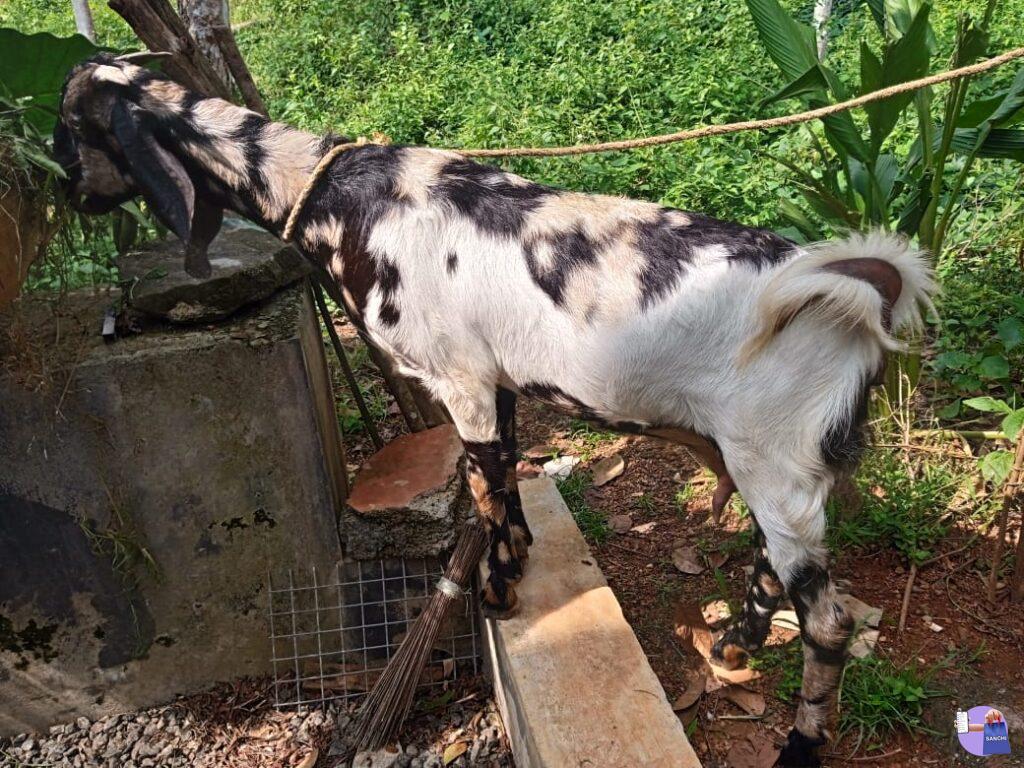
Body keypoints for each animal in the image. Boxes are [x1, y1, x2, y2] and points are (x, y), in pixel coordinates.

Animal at [54, 54, 935, 767]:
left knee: (828, 623)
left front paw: (498, 592)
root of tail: (863, 288)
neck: (341, 196)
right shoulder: (501, 382)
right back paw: (730, 645)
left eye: (70, 127)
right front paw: (515, 563)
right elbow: (505, 481)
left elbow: (481, 488)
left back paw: (800, 744)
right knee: (771, 564)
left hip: (777, 462)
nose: (67, 195)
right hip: (772, 469)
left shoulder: (462, 381)